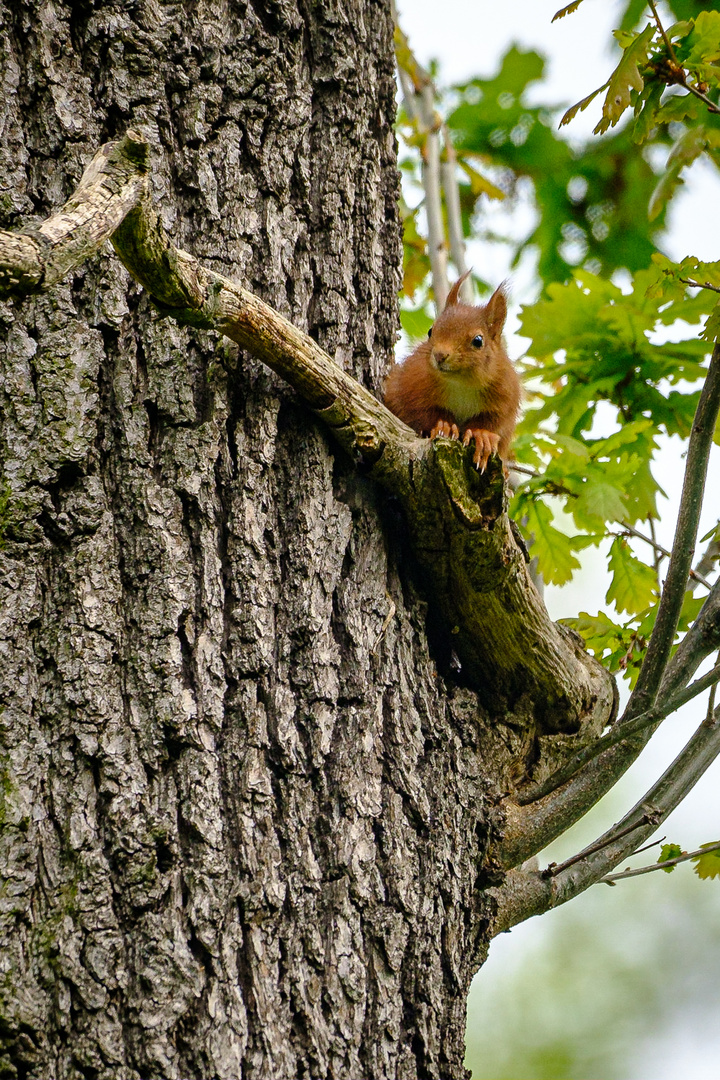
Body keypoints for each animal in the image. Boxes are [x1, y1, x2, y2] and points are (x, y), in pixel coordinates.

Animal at [386, 272, 520, 470]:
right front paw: (444, 425)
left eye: (478, 341)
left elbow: (495, 421)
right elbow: (419, 411)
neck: (461, 383)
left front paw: (482, 436)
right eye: (430, 331)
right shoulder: (413, 384)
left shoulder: (504, 395)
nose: (440, 355)